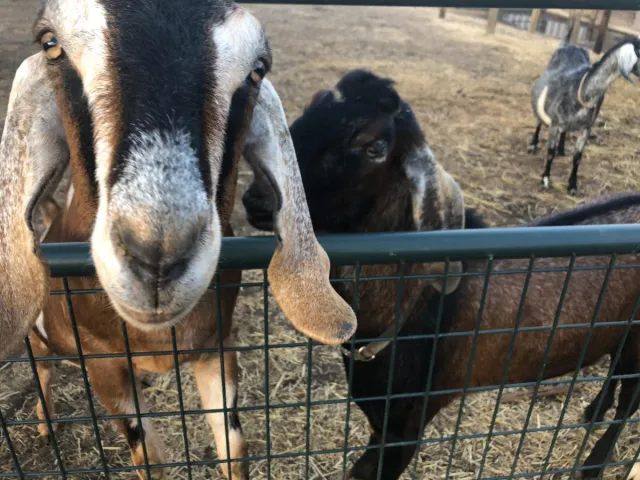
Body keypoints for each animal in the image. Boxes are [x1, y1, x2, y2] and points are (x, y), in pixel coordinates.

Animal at [0, 2, 356, 478]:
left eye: (257, 69)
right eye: (51, 45)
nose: (157, 255)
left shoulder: (217, 346)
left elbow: (233, 446)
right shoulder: (105, 367)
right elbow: (148, 457)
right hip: (39, 344)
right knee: (43, 372)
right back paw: (43, 424)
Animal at [243, 69, 640, 480]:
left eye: (375, 146)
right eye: (312, 104)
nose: (258, 199)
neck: (412, 305)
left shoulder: (405, 428)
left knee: (630, 400)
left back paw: (594, 464)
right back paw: (593, 411)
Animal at [529, 29, 640, 195]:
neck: (581, 91)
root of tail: (569, 45)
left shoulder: (586, 128)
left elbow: (577, 157)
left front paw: (573, 186)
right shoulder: (555, 124)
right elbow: (550, 153)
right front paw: (545, 180)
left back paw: (561, 149)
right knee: (538, 121)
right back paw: (533, 144)